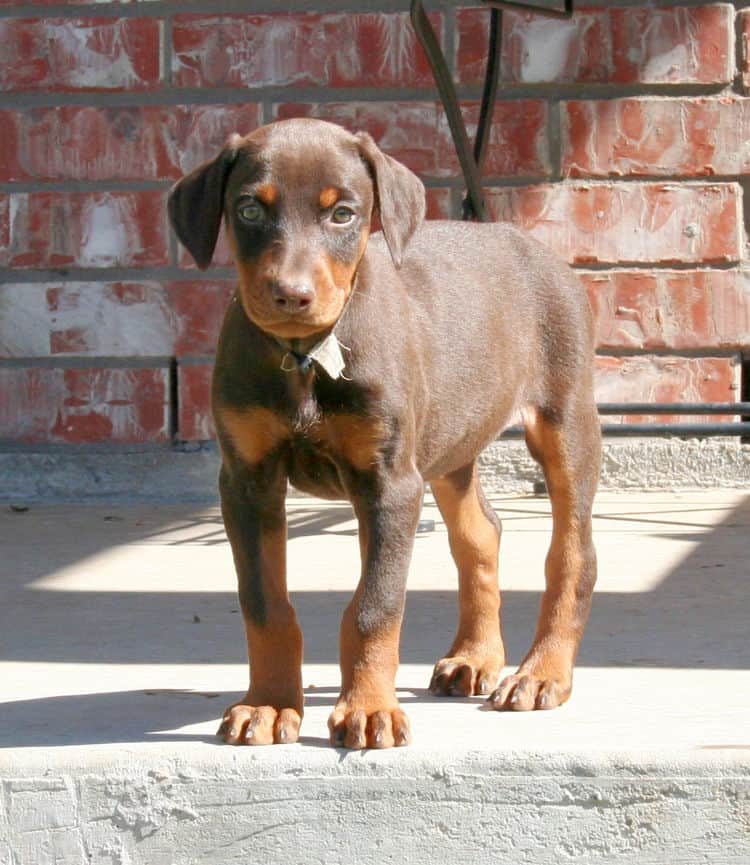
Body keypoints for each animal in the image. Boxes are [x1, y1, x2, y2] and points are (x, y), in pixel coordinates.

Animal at [167, 116, 604, 748]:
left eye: (343, 214)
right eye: (249, 209)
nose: (291, 295)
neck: (306, 356)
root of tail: (524, 241)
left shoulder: (390, 484)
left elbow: (375, 604)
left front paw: (369, 708)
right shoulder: (247, 483)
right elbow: (264, 603)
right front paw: (270, 704)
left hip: (563, 422)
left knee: (572, 555)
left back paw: (541, 672)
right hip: (449, 445)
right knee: (481, 534)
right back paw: (475, 656)